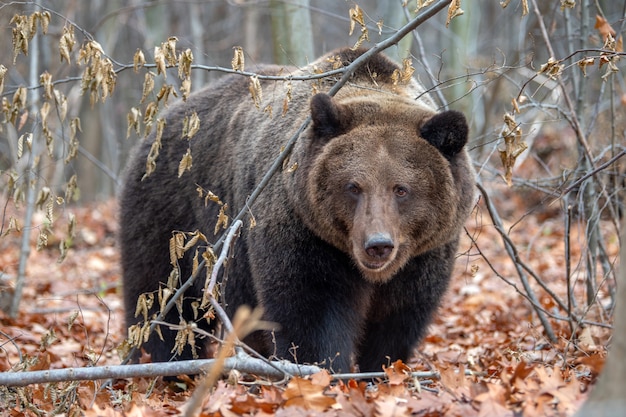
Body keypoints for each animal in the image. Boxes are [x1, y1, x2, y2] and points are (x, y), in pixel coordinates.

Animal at [118, 47, 472, 372]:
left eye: (401, 189)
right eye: (353, 186)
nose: (378, 245)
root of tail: (159, 125)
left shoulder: (423, 256)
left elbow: (398, 321)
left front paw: (378, 370)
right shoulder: (302, 230)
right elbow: (310, 310)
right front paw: (324, 370)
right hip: (171, 213)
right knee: (164, 297)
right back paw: (166, 365)